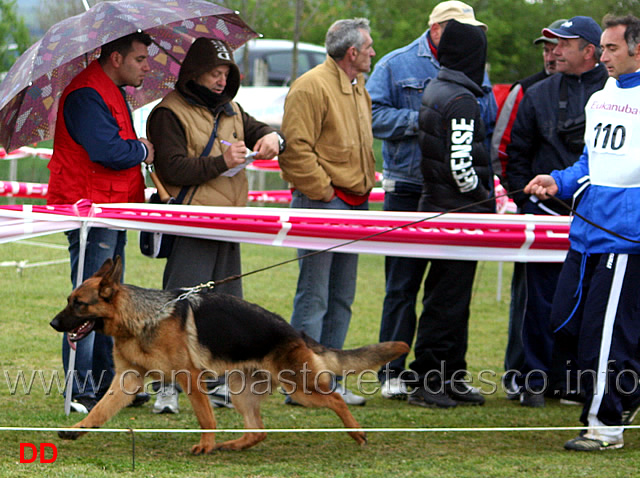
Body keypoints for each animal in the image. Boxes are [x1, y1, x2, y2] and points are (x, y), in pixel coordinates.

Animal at [51, 256, 410, 454]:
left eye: (78, 304)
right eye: (68, 300)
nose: (53, 323)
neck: (140, 318)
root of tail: (296, 332)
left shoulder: (190, 378)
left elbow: (205, 417)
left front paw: (205, 446)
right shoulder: (126, 382)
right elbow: (100, 411)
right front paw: (77, 429)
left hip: (299, 388)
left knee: (334, 399)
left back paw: (356, 432)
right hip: (243, 392)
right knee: (257, 431)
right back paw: (232, 446)